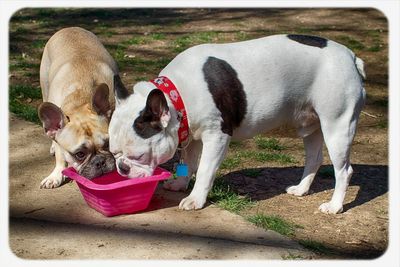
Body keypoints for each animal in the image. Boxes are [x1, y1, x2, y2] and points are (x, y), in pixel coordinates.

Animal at [37, 27, 119, 189]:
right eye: (79, 154)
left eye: (108, 144)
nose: (100, 161)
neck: (81, 98)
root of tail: (69, 28)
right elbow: (60, 156)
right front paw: (56, 175)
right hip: (45, 86)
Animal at [108, 34, 364, 215]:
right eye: (113, 153)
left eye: (139, 156)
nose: (122, 168)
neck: (177, 94)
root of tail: (351, 57)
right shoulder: (192, 135)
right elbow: (188, 162)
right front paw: (180, 183)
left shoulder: (217, 136)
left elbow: (204, 170)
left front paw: (195, 199)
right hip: (312, 125)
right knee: (314, 157)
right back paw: (301, 189)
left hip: (338, 125)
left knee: (344, 170)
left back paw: (334, 206)